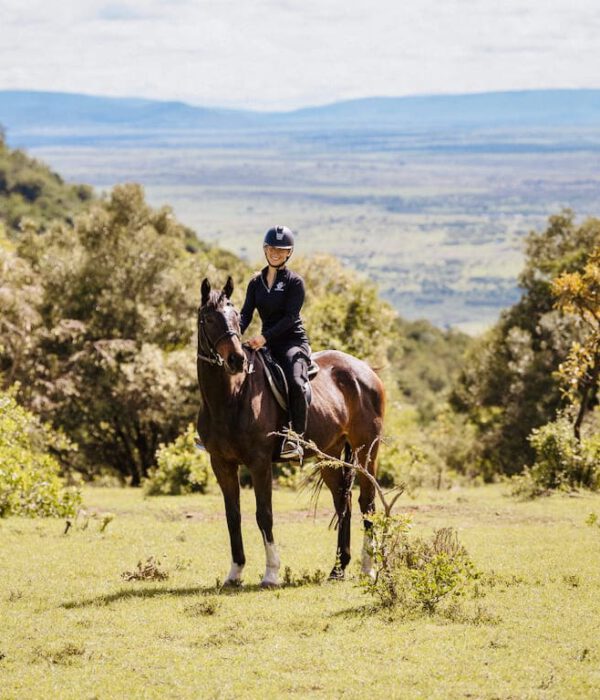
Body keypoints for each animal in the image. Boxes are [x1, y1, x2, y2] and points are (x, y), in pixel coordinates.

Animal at [196, 276, 385, 587]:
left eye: (235, 318)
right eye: (209, 318)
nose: (236, 360)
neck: (230, 397)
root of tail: (366, 370)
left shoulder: (259, 463)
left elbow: (264, 514)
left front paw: (271, 573)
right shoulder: (221, 464)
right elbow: (233, 516)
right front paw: (235, 573)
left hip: (366, 451)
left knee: (367, 502)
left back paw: (368, 569)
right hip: (330, 455)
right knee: (342, 502)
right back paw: (338, 569)